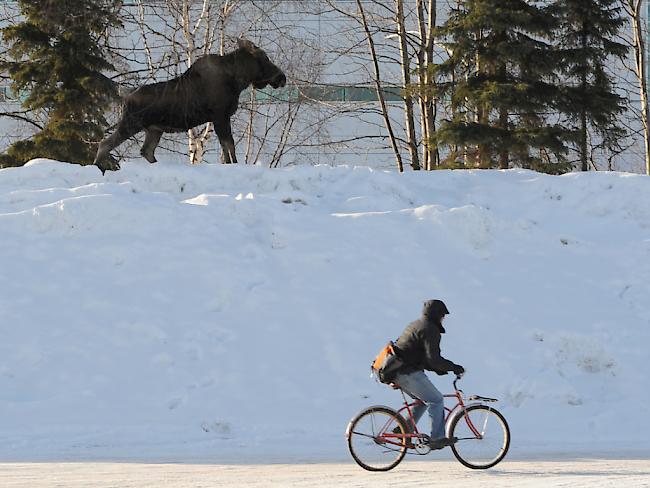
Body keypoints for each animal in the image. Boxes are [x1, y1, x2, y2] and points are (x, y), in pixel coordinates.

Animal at [92, 40, 284, 173]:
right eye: (265, 58)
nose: (282, 77)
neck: (238, 81)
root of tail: (125, 95)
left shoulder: (221, 118)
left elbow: (227, 147)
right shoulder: (220, 116)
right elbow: (229, 146)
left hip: (154, 130)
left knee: (146, 151)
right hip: (131, 124)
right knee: (104, 144)